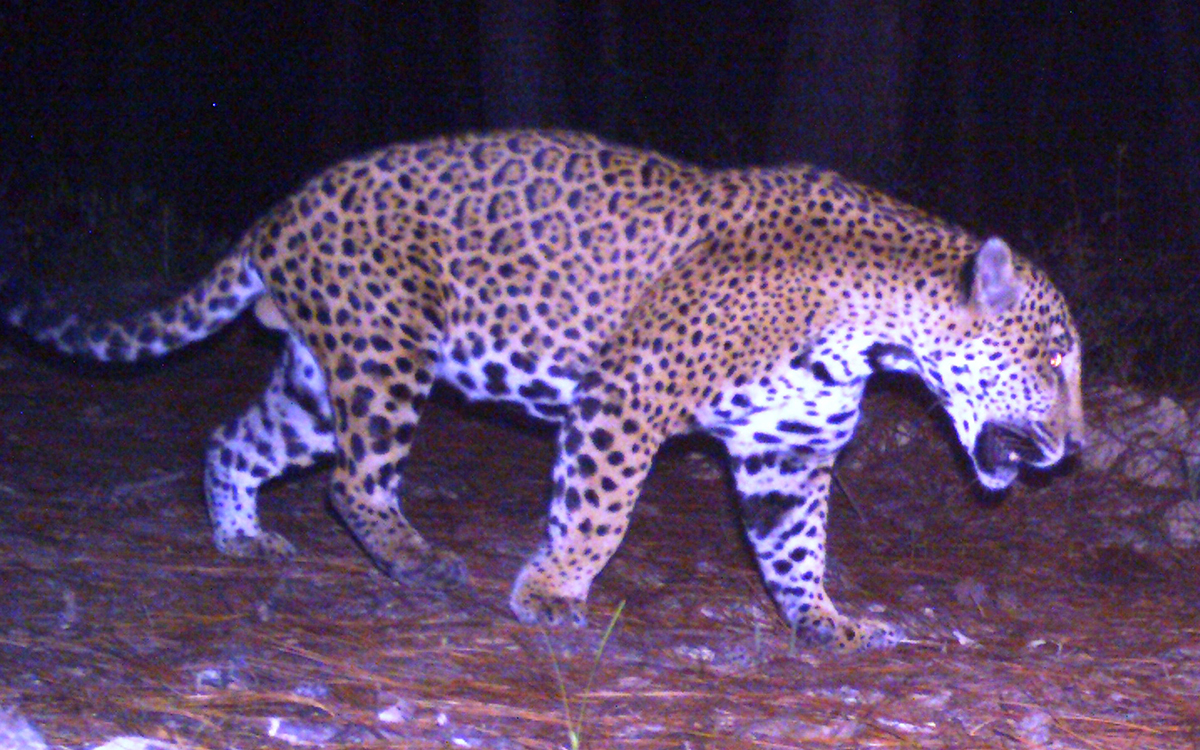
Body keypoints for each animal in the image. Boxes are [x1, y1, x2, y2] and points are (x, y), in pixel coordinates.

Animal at [1, 130, 1084, 650]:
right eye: (1056, 360)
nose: (1076, 447)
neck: (878, 321)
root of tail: (278, 213)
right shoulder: (624, 397)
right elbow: (599, 512)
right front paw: (555, 592)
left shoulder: (788, 450)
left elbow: (793, 549)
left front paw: (826, 625)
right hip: (386, 353)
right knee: (354, 481)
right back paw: (418, 561)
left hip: (317, 380)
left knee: (237, 443)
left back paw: (241, 539)